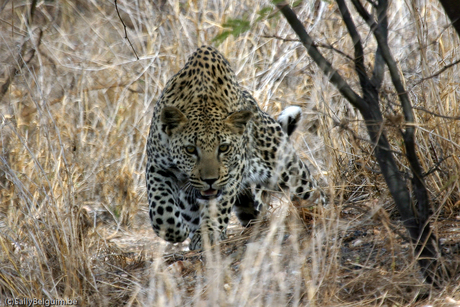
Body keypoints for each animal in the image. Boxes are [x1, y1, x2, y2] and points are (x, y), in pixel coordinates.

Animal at [146, 47, 326, 251]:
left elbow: (218, 206)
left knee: (313, 192)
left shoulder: (233, 172)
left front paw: (209, 232)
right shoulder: (157, 166)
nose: (210, 181)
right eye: (190, 149)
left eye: (224, 148)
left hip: (289, 170)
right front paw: (176, 230)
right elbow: (161, 209)